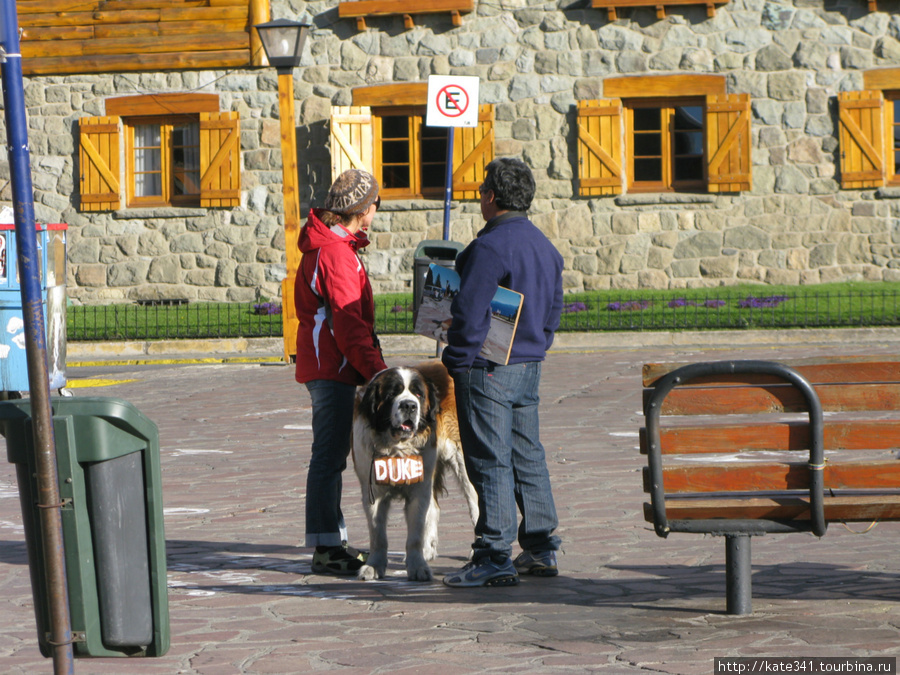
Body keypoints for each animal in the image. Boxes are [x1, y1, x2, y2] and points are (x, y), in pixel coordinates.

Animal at [352, 362, 478, 584]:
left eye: (418, 394)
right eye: (392, 393)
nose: (409, 406)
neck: (396, 447)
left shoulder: (419, 489)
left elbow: (415, 534)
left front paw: (417, 567)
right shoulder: (373, 492)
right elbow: (378, 535)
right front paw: (374, 566)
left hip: (462, 462)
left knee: (476, 504)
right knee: (434, 508)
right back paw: (428, 550)